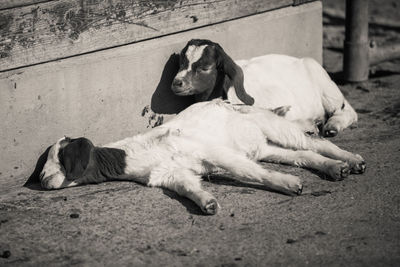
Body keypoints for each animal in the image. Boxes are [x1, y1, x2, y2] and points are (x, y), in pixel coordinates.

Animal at [37, 100, 366, 216]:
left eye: (61, 157)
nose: (40, 179)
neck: (140, 152)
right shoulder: (172, 174)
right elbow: (189, 188)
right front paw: (207, 203)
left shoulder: (215, 153)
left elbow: (251, 173)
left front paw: (287, 185)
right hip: (264, 147)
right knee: (303, 154)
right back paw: (334, 168)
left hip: (275, 127)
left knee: (315, 143)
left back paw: (349, 160)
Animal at [170, 39, 358, 138]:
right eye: (181, 62)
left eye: (205, 67)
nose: (176, 83)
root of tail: (301, 60)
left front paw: (310, 126)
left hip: (326, 88)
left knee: (348, 112)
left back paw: (331, 126)